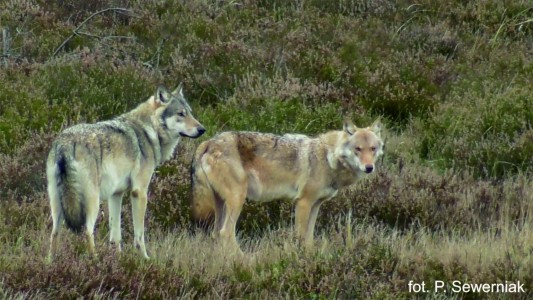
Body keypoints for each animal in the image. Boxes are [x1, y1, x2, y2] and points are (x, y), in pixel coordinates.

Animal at [46, 83, 204, 258]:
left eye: (190, 112)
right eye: (180, 114)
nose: (202, 129)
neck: (150, 131)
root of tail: (65, 144)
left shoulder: (116, 194)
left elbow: (116, 236)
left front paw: (118, 259)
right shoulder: (139, 192)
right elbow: (139, 236)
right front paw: (145, 259)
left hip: (58, 205)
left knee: (54, 234)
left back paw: (51, 261)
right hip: (92, 202)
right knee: (87, 231)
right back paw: (95, 260)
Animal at [190, 118, 382, 252]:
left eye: (372, 149)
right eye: (358, 149)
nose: (369, 167)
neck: (328, 157)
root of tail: (208, 142)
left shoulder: (316, 205)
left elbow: (309, 238)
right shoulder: (303, 203)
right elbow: (300, 236)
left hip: (221, 204)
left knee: (216, 233)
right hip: (237, 200)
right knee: (226, 233)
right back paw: (244, 260)